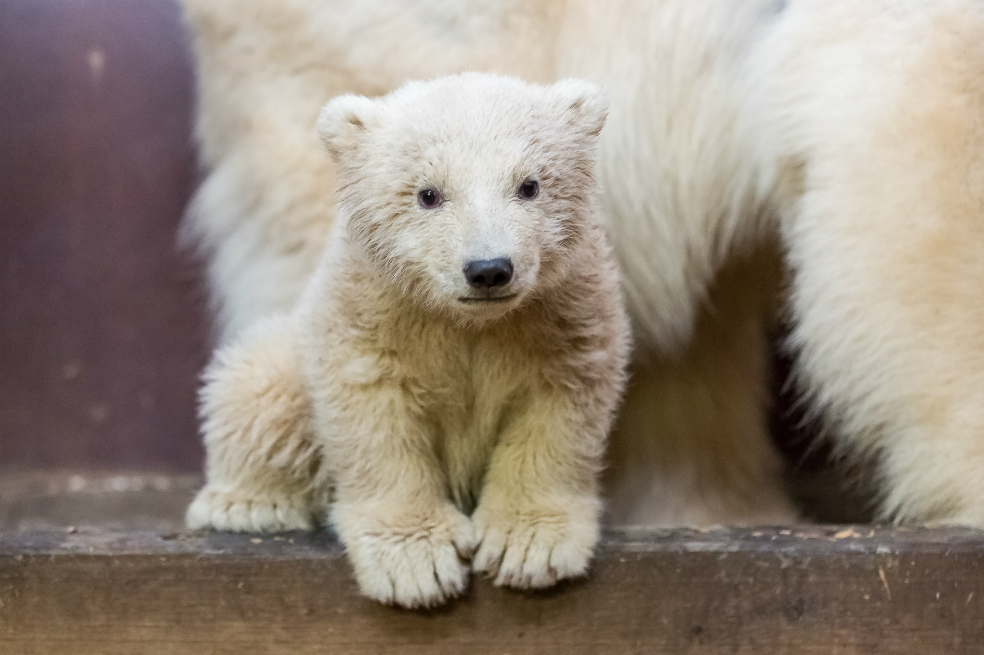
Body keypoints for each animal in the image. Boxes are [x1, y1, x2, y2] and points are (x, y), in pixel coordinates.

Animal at [186, 73, 632, 609]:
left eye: (530, 185)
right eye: (428, 194)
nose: (488, 269)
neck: (469, 322)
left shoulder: (562, 314)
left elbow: (558, 411)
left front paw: (527, 547)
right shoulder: (371, 316)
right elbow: (374, 423)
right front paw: (417, 564)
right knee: (256, 383)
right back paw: (247, 503)